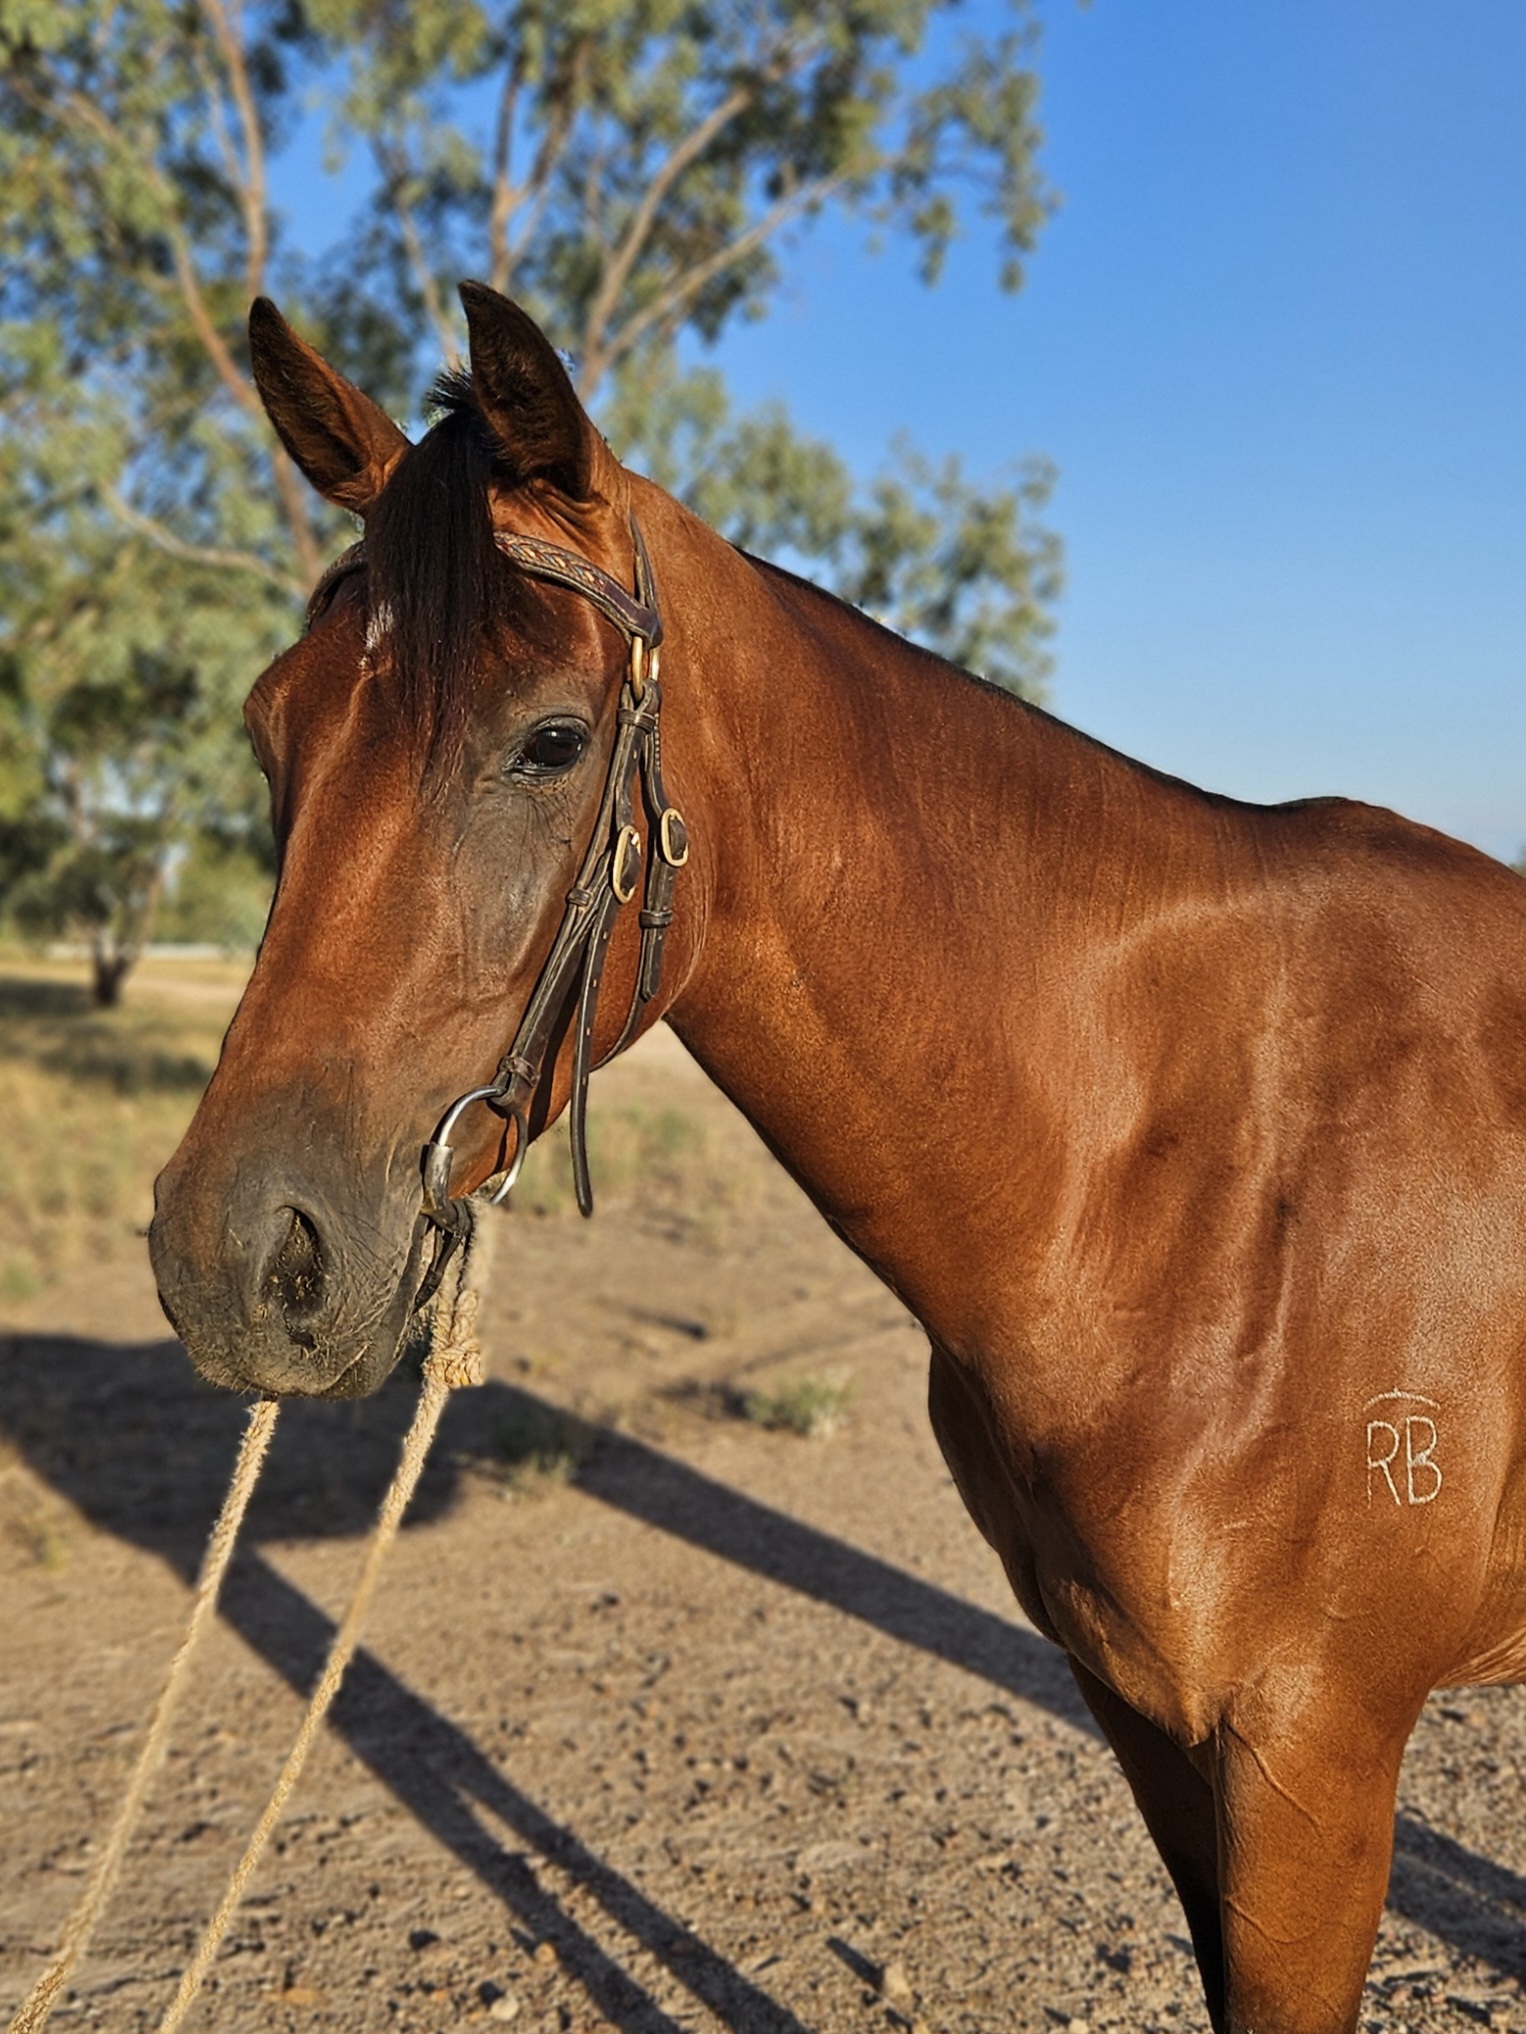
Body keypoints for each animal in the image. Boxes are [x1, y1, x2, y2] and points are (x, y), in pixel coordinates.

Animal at [149, 281, 1526, 2033]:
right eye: (275, 729)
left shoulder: (1311, 1758)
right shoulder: (1154, 1723)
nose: (232, 1254)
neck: (1198, 1167)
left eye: (551, 739)